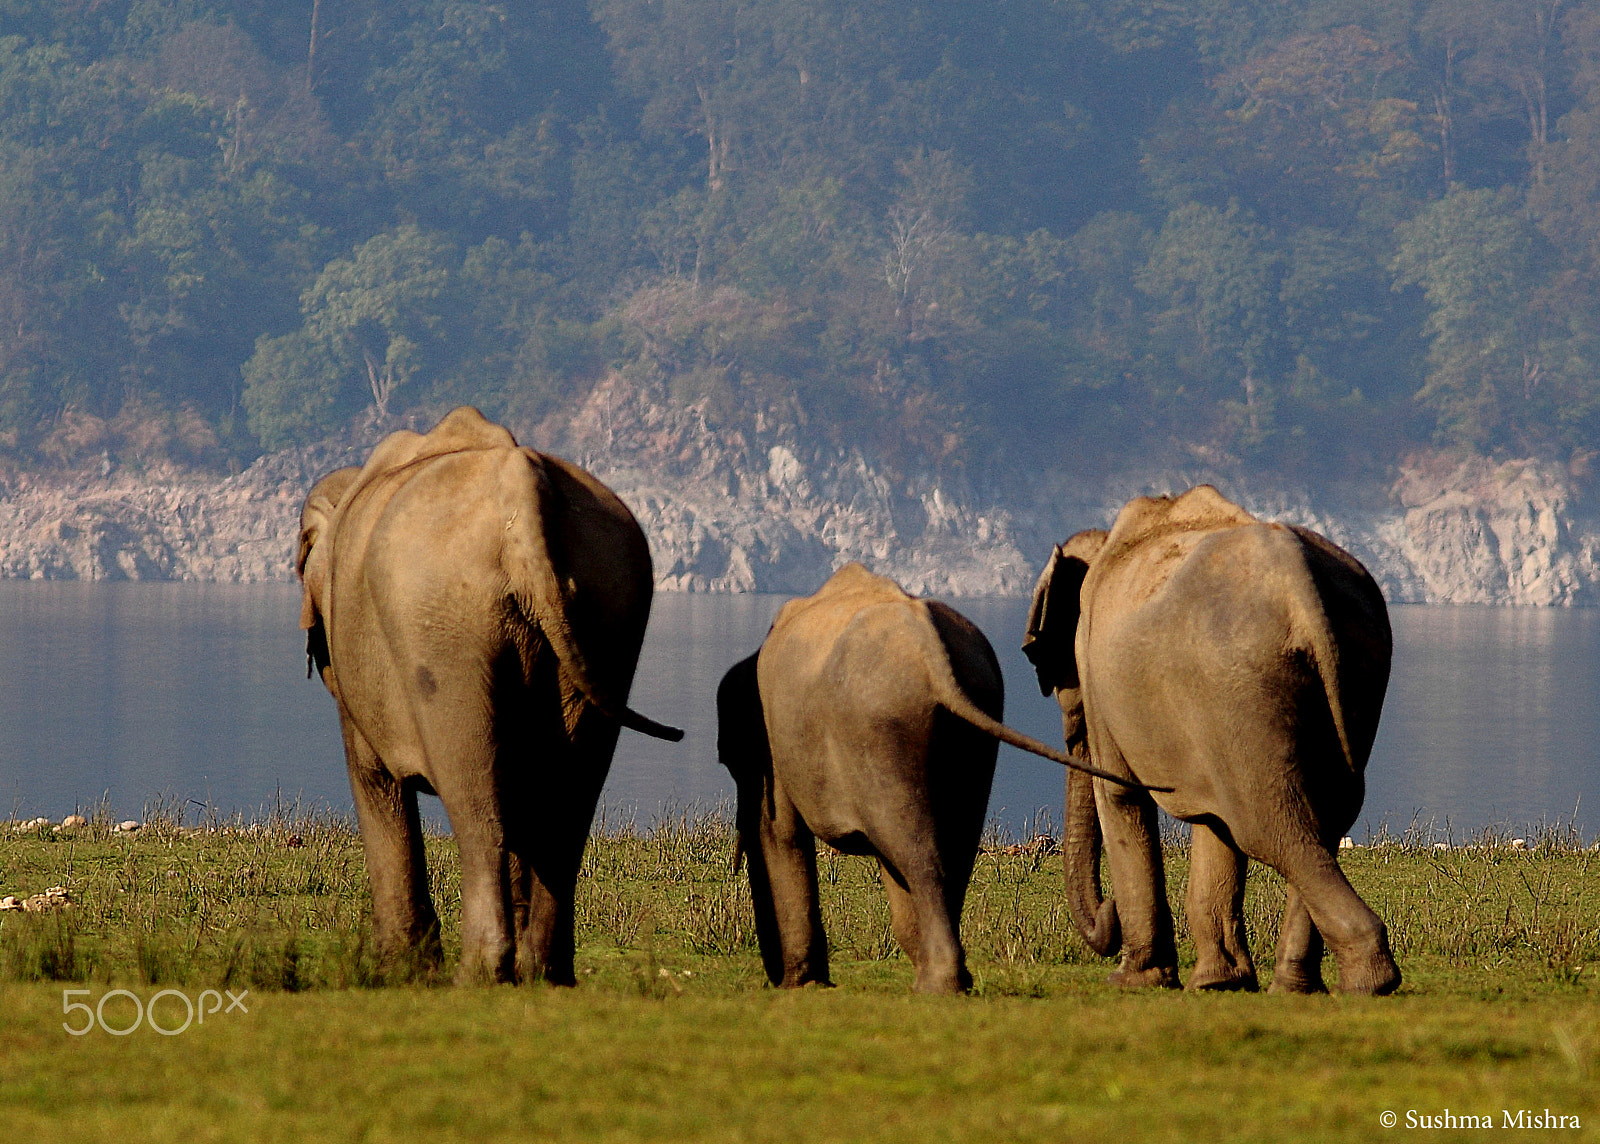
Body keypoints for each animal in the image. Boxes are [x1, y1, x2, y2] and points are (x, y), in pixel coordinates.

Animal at [297, 406, 683, 985]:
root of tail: (523, 495)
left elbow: (373, 776)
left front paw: (398, 970)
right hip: (609, 614)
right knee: (565, 801)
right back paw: (545, 973)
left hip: (445, 631)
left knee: (477, 798)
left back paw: (479, 973)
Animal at [716, 562, 1150, 994]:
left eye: (727, 758)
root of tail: (931, 654)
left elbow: (780, 833)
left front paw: (801, 985)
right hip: (973, 719)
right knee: (954, 843)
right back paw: (944, 978)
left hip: (881, 731)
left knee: (914, 849)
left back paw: (938, 984)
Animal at [1022, 485, 1399, 996]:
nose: (1107, 915)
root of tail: (1298, 580)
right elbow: (1211, 823)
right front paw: (1219, 983)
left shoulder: (1098, 669)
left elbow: (1121, 795)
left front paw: (1133, 981)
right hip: (1356, 668)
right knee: (1326, 814)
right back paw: (1300, 987)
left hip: (1241, 684)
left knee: (1268, 826)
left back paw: (1368, 981)